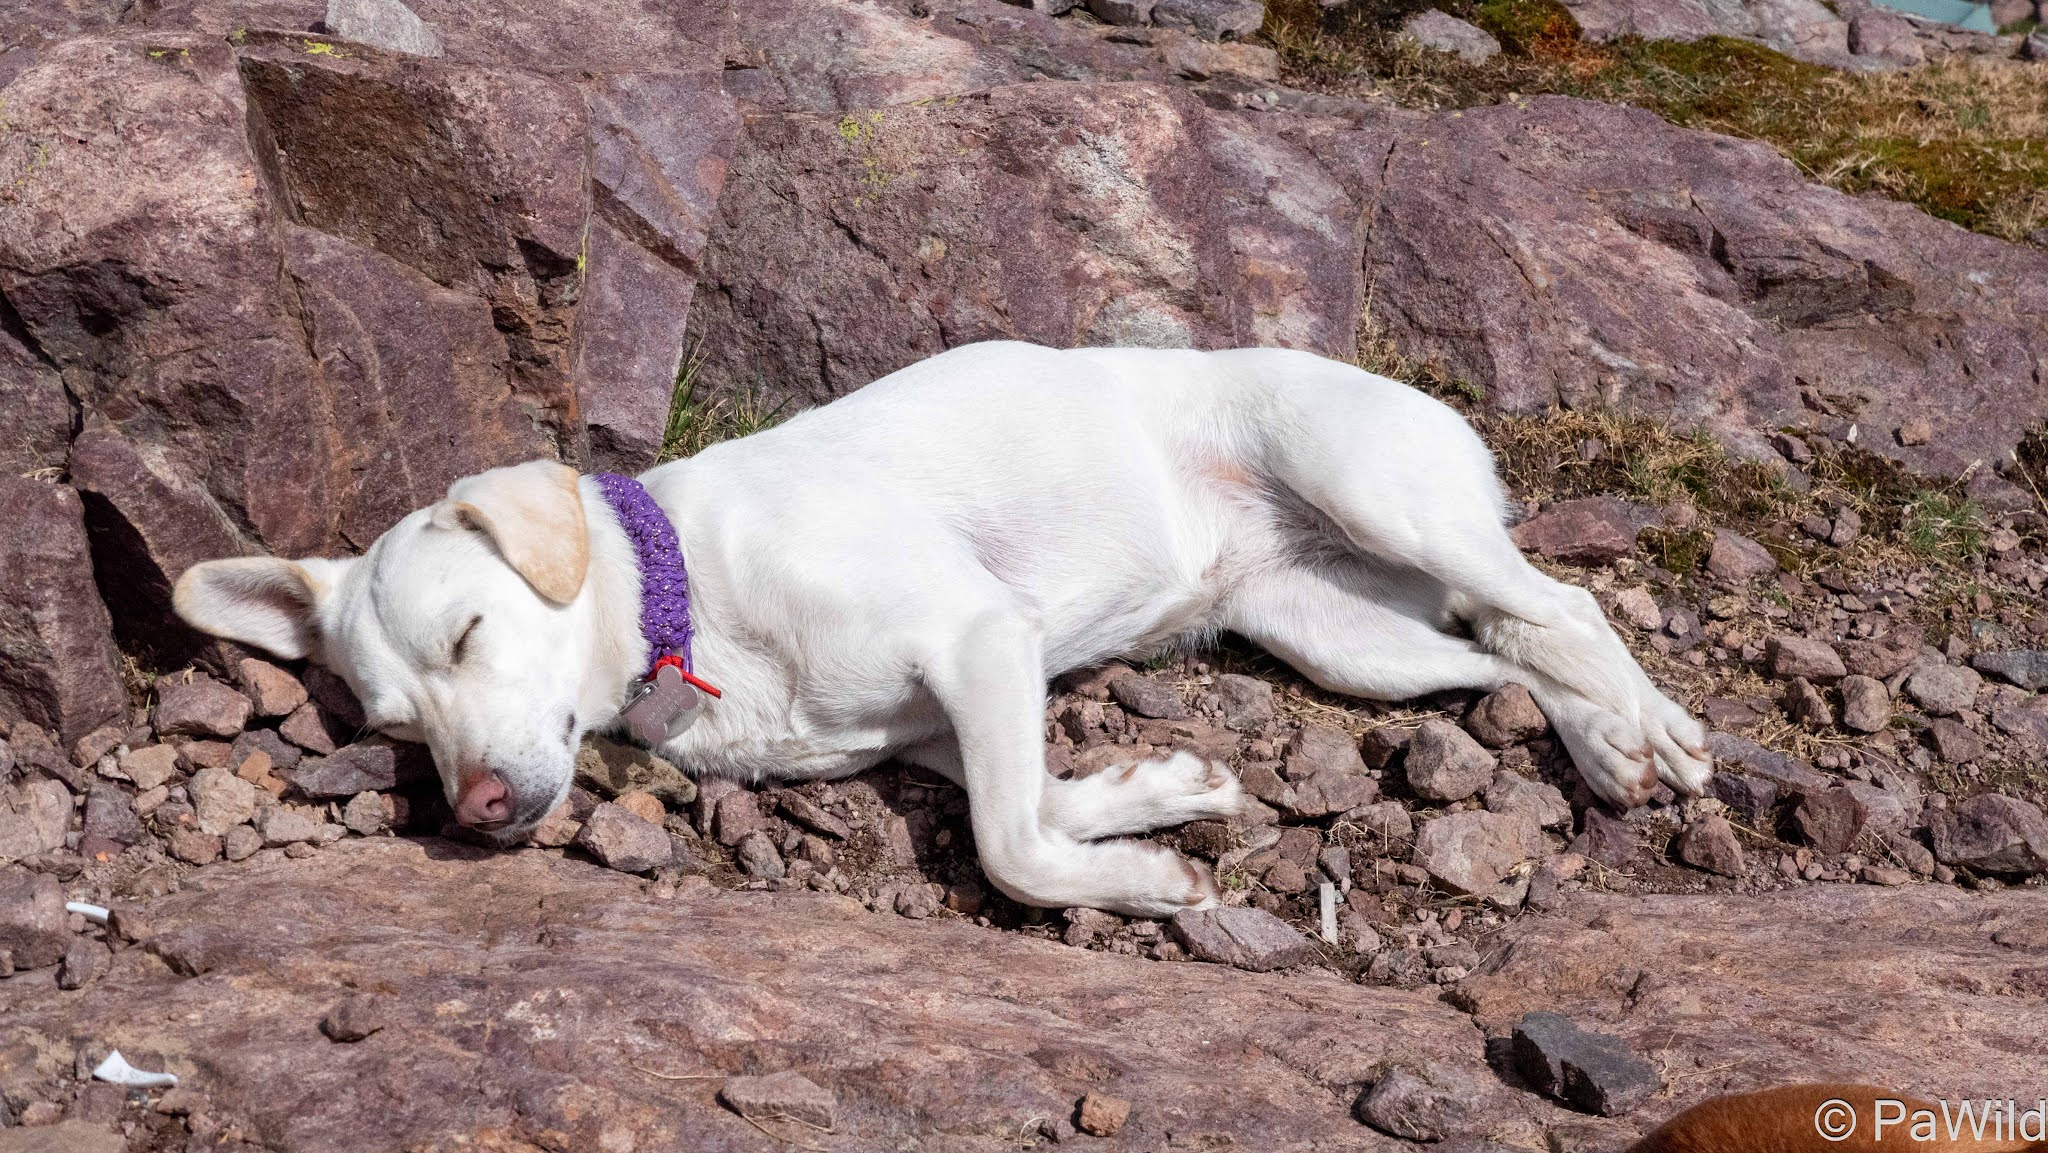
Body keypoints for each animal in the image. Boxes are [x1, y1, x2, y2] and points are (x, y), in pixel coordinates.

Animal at [172, 337, 1712, 917]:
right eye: (394, 728)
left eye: (471, 634)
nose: (477, 810)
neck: (692, 601)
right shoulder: (949, 716)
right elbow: (1038, 799)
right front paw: (1166, 795)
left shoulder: (979, 637)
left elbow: (1012, 845)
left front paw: (1145, 884)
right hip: (1337, 637)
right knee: (1508, 650)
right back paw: (1606, 742)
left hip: (1377, 492)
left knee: (1564, 604)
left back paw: (1659, 735)